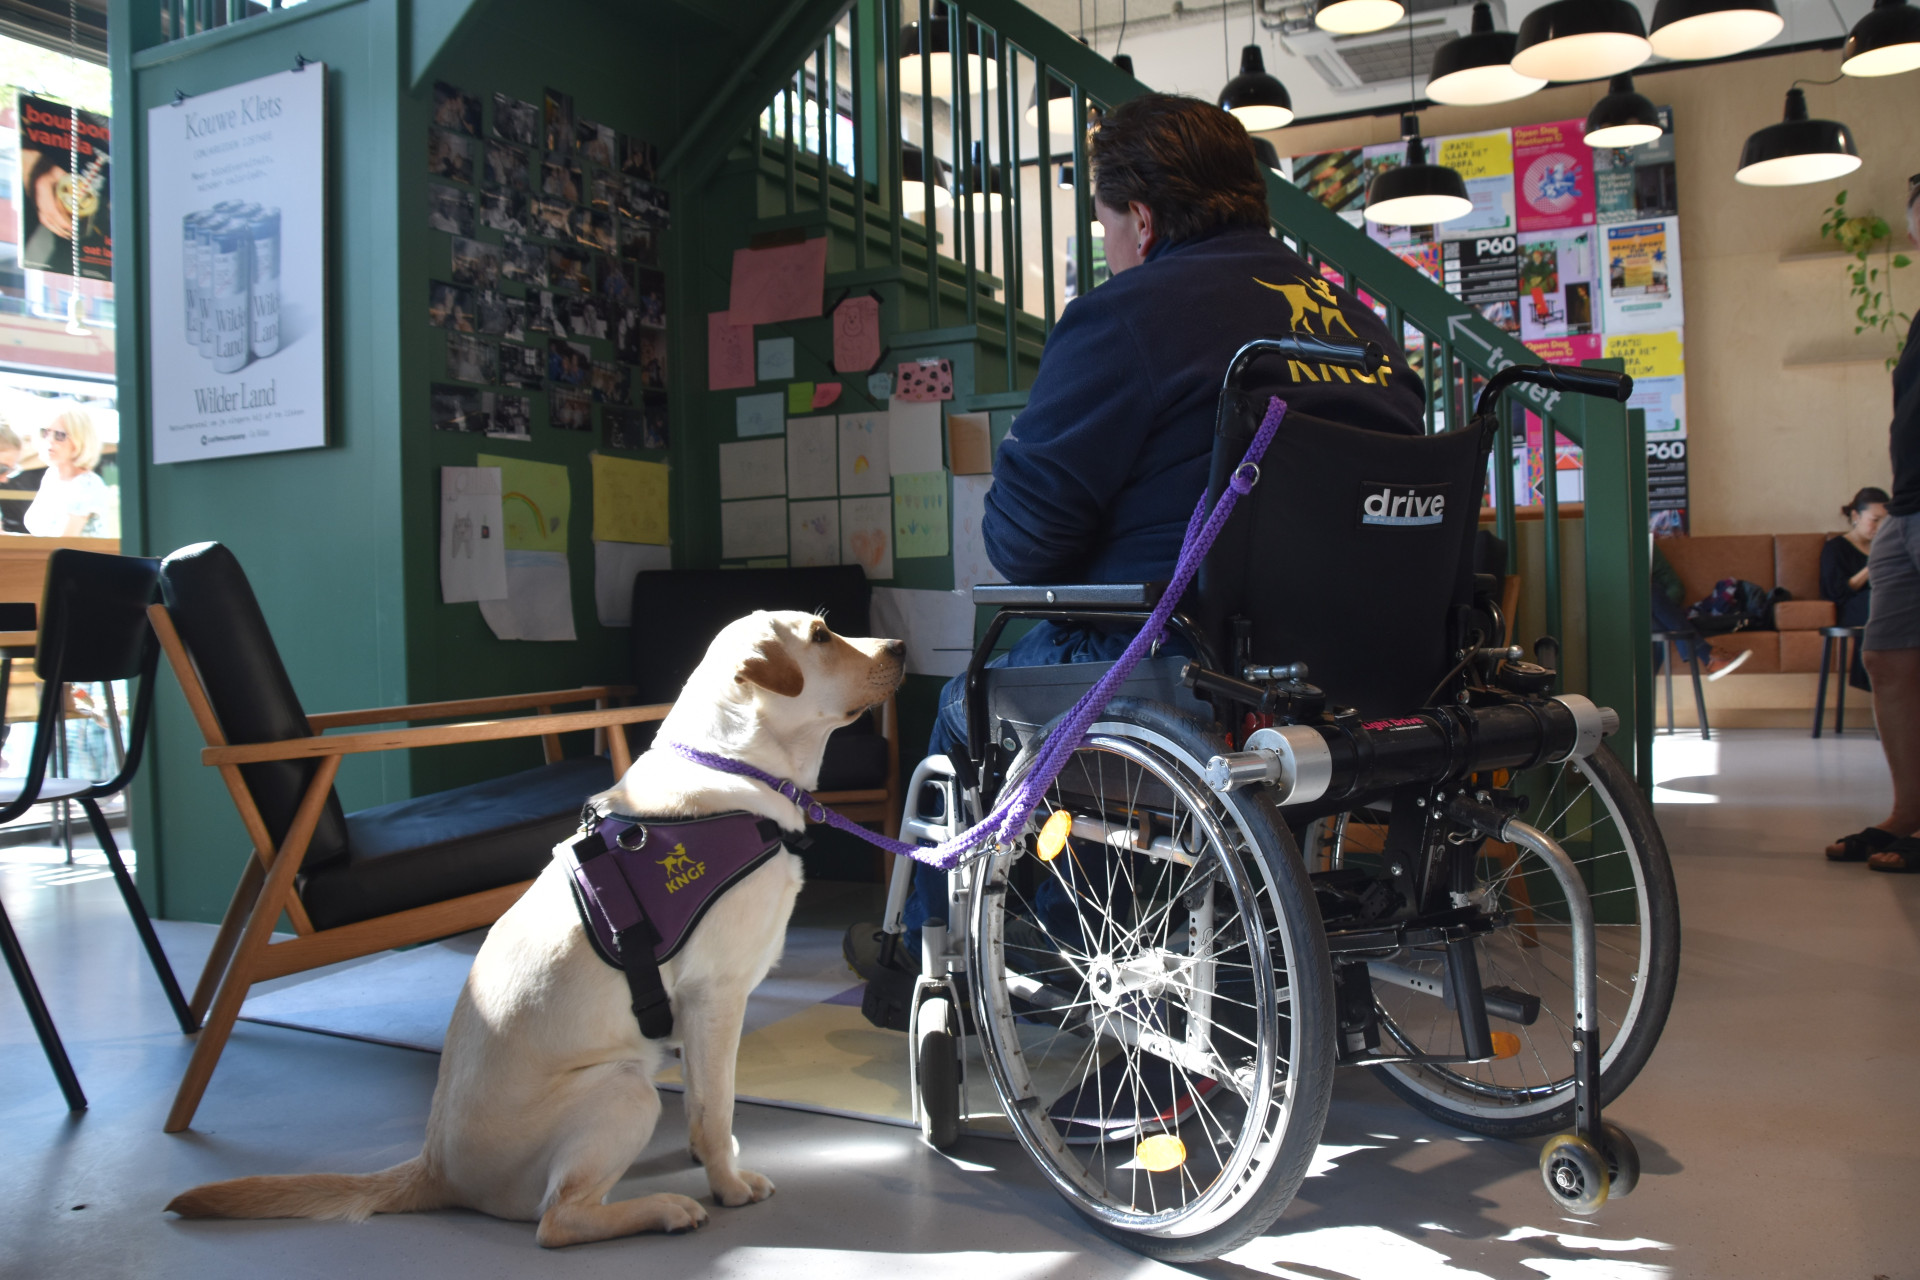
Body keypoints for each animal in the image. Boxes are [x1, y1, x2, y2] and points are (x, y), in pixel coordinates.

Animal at [168, 614, 902, 1243]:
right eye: (822, 634)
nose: (898, 645)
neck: (730, 766)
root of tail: (434, 1168)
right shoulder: (715, 996)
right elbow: (716, 1107)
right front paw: (727, 1182)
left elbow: (702, 1102)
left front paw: (709, 1158)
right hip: (624, 1086)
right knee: (558, 1220)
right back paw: (665, 1209)